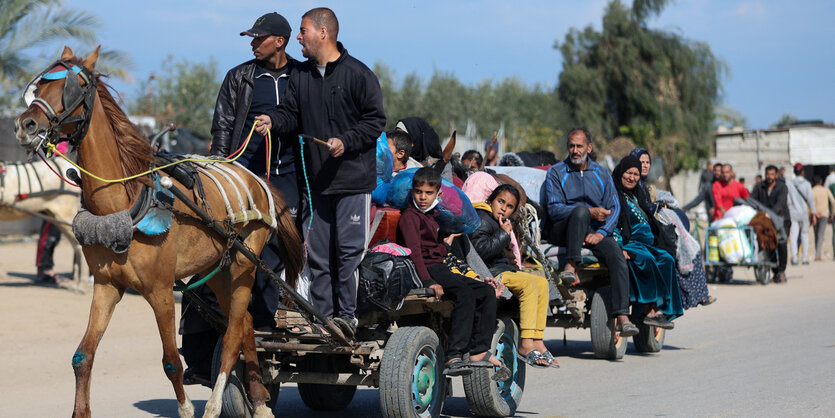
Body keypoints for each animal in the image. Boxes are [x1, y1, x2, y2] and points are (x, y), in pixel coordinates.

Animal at [14, 45, 304, 418]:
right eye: (37, 87)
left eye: (75, 86)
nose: (25, 124)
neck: (124, 201)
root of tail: (256, 179)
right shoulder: (107, 286)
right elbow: (83, 356)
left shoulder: (161, 291)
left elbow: (171, 362)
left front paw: (187, 409)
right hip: (217, 269)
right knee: (247, 326)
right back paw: (259, 402)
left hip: (245, 264)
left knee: (231, 339)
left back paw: (215, 406)